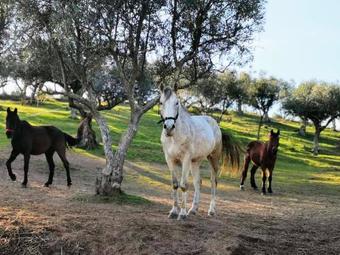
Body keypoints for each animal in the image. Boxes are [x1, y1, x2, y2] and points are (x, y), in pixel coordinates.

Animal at [159, 87, 240, 219]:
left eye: (177, 103)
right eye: (161, 103)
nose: (169, 127)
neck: (176, 136)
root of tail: (216, 125)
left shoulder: (185, 159)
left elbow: (184, 185)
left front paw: (182, 214)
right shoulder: (170, 159)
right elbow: (175, 184)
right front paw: (174, 211)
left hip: (213, 158)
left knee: (213, 182)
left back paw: (211, 210)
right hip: (195, 161)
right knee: (198, 182)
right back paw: (193, 209)